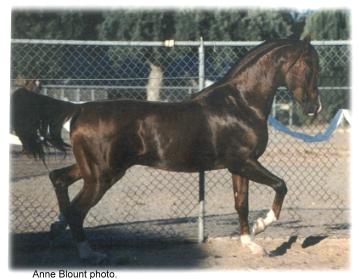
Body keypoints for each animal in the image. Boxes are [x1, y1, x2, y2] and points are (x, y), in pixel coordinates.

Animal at [10, 36, 320, 264]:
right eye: (308, 65)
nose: (314, 108)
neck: (241, 103)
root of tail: (79, 110)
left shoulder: (239, 166)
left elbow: (240, 204)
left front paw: (251, 244)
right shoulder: (245, 162)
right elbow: (280, 185)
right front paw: (262, 226)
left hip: (92, 170)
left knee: (59, 179)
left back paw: (56, 228)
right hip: (102, 176)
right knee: (77, 209)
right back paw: (90, 253)